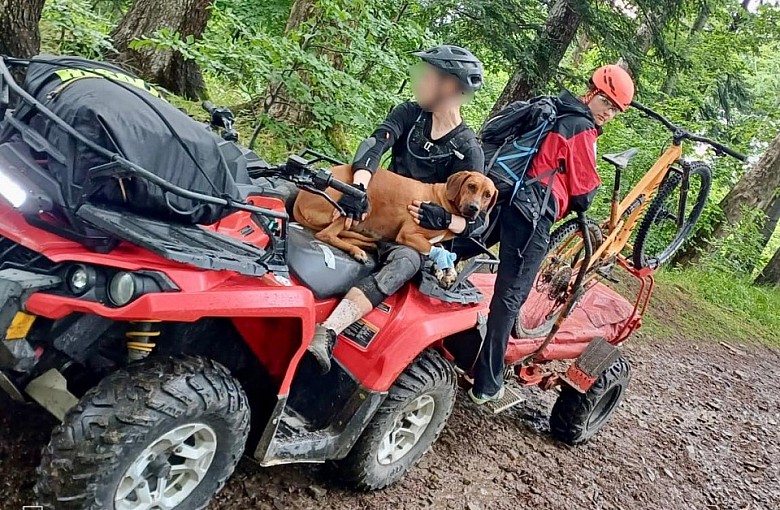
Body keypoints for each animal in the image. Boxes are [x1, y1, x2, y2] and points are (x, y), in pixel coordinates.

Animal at [292, 165, 500, 280]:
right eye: (471, 186)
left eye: (488, 195)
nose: (474, 208)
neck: (445, 207)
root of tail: (300, 199)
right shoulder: (408, 234)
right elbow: (435, 249)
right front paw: (443, 265)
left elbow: (442, 249)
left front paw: (446, 270)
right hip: (361, 204)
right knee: (326, 234)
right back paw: (356, 250)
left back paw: (363, 246)